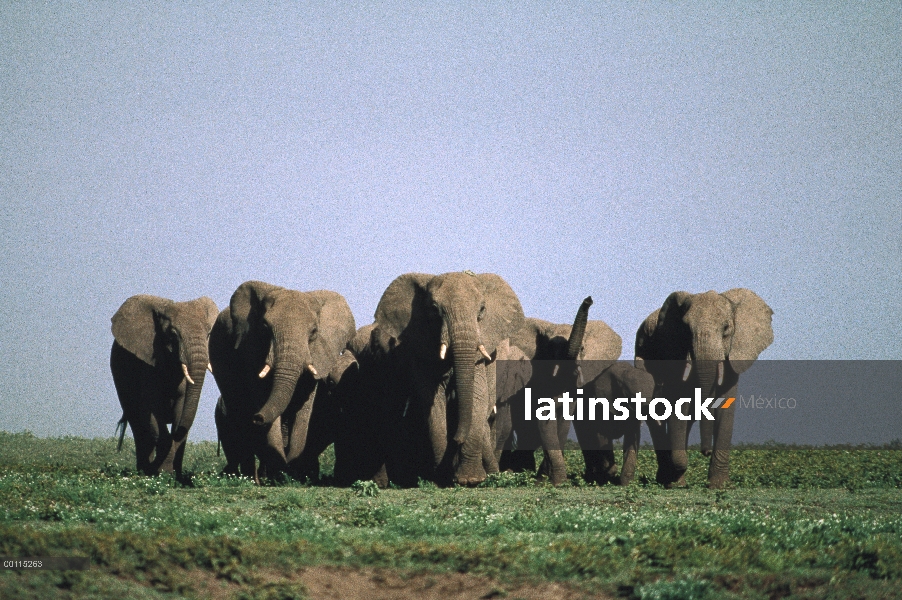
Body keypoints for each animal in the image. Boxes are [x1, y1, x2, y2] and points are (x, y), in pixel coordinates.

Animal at [110, 292, 220, 476]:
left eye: (208, 334)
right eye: (173, 335)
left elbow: (181, 409)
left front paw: (173, 473)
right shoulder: (147, 364)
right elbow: (150, 409)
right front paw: (163, 472)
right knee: (137, 423)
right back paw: (145, 471)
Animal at [210, 282, 354, 482]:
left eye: (314, 332)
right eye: (265, 327)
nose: (258, 417)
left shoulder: (319, 355)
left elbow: (305, 406)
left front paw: (295, 472)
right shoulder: (251, 349)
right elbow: (260, 393)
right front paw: (281, 471)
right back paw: (253, 479)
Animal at [370, 272, 528, 488]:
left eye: (482, 309)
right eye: (435, 309)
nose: (457, 439)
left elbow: (477, 397)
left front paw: (470, 480)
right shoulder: (422, 353)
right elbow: (433, 402)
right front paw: (442, 479)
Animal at [498, 298, 624, 486]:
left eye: (583, 348)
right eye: (552, 351)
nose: (589, 299)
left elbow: (564, 418)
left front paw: (550, 480)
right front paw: (551, 481)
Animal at [636, 288, 776, 490]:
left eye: (726, 329)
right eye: (686, 329)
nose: (705, 452)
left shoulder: (734, 353)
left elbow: (725, 405)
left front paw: (720, 485)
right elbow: (678, 403)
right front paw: (676, 477)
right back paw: (669, 478)